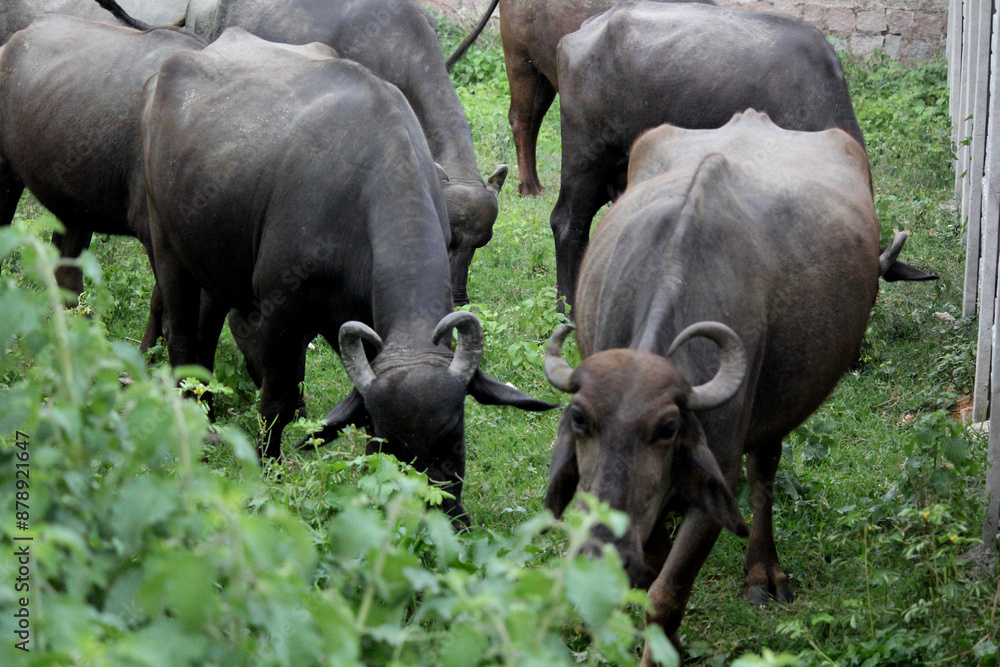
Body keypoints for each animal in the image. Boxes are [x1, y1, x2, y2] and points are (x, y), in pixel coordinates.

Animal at [141, 29, 554, 525]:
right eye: (392, 446)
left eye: (455, 436)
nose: (433, 516)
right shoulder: (280, 310)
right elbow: (277, 400)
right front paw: (269, 470)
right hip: (167, 246)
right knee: (182, 339)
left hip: (216, 265)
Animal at [542, 111, 917, 658]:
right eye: (579, 419)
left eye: (668, 428)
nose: (600, 547)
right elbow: (645, 575)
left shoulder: (717, 472)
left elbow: (666, 596)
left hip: (774, 409)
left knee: (764, 473)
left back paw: (763, 572)